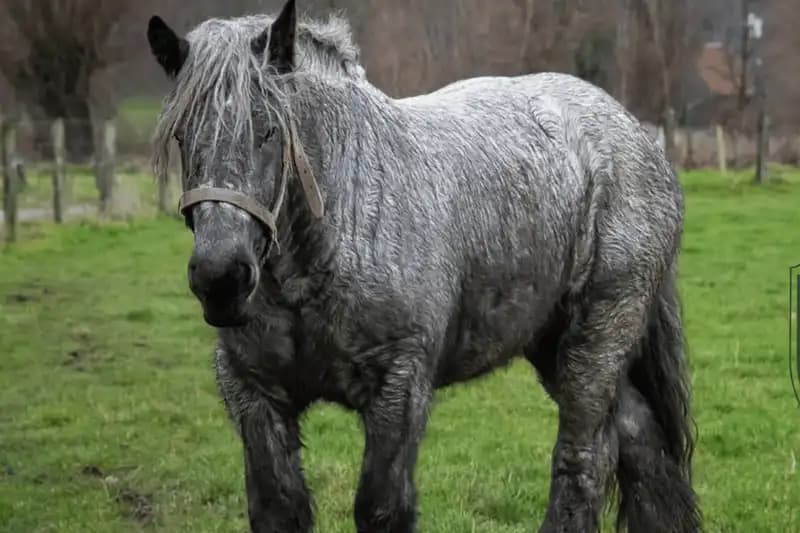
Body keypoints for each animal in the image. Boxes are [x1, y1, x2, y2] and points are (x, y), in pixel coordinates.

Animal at [146, 1, 700, 531]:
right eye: (182, 136)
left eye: (269, 130)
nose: (221, 277)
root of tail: (635, 134)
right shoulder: (254, 395)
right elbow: (277, 508)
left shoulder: (400, 389)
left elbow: (381, 509)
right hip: (553, 343)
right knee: (637, 439)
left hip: (597, 340)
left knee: (583, 459)